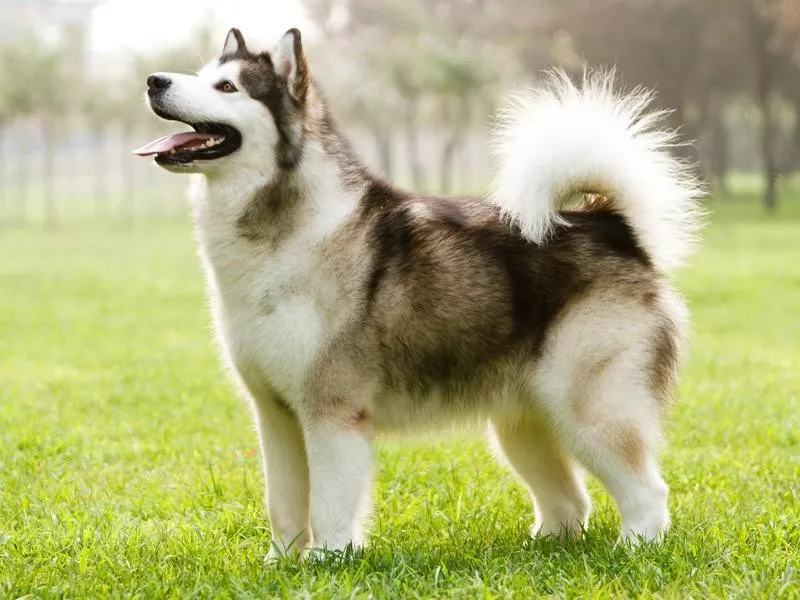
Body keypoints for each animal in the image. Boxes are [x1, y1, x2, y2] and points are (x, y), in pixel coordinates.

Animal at [134, 25, 704, 556]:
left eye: (227, 86)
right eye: (200, 73)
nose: (154, 80)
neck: (280, 229)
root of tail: (611, 226)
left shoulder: (331, 411)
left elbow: (329, 502)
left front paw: (328, 560)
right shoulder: (275, 415)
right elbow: (284, 504)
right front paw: (282, 563)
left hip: (588, 408)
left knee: (648, 491)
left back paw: (634, 548)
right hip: (522, 423)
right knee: (570, 501)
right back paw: (542, 548)